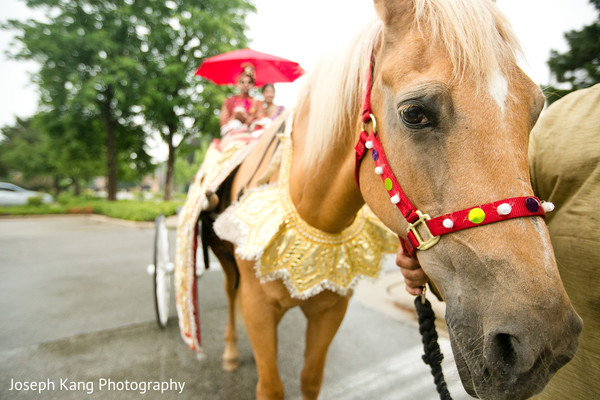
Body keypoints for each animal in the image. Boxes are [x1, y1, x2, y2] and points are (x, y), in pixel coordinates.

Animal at [189, 0, 580, 400]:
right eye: (414, 113)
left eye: (536, 110)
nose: (543, 344)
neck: (307, 212)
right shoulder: (259, 311)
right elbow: (271, 383)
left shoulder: (330, 312)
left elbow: (310, 378)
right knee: (229, 293)